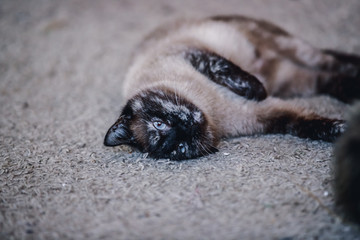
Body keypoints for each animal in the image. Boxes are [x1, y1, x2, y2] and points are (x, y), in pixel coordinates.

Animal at [103, 15, 360, 161]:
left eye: (159, 123)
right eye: (179, 148)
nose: (188, 128)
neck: (212, 108)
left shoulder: (194, 55)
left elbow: (232, 74)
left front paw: (257, 90)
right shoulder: (268, 116)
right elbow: (311, 126)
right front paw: (344, 131)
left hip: (292, 49)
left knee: (330, 59)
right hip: (292, 81)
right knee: (327, 79)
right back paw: (351, 90)